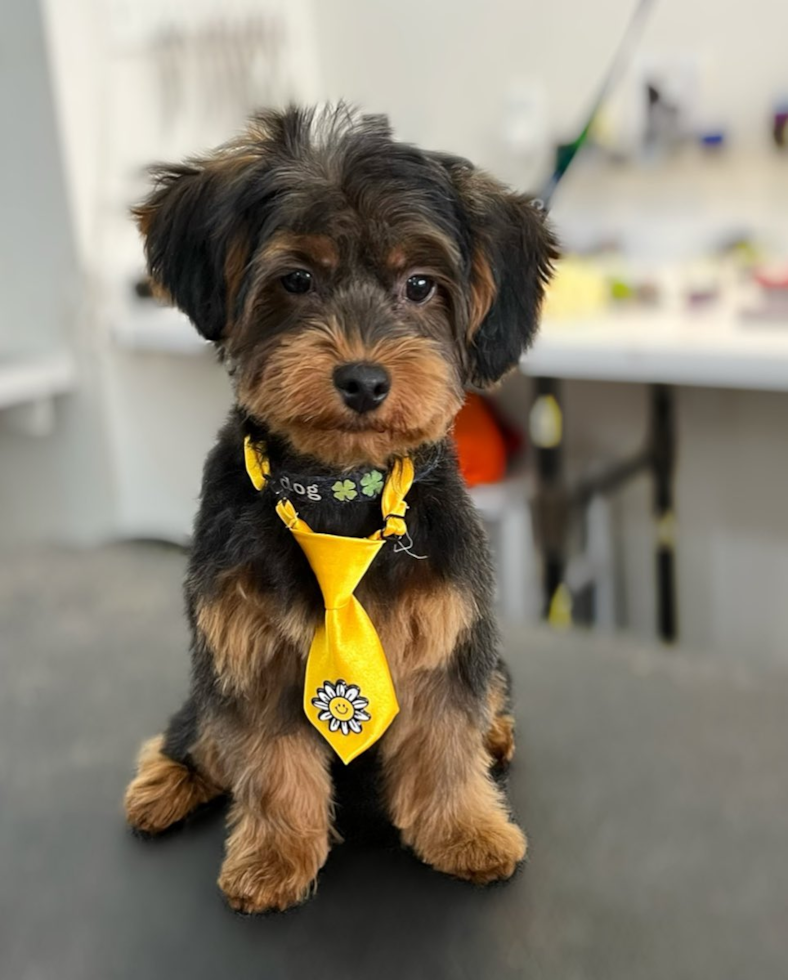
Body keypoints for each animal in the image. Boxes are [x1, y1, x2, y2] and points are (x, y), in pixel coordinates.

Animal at [124, 103, 556, 916]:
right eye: (297, 279)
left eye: (420, 285)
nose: (363, 379)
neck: (340, 490)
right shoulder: (248, 645)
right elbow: (270, 764)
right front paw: (274, 855)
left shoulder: (448, 628)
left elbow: (445, 739)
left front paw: (463, 830)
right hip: (208, 677)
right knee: (201, 732)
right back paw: (167, 778)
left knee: (490, 695)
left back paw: (496, 734)